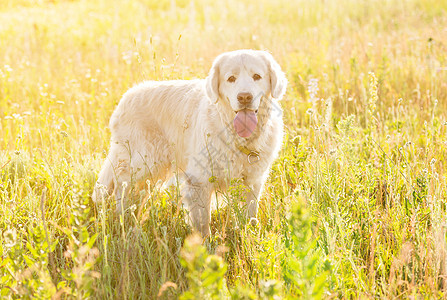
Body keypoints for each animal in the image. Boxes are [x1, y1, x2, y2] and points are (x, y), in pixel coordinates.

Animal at [93, 49, 288, 237]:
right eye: (231, 78)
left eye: (257, 76)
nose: (245, 97)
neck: (236, 135)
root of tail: (126, 97)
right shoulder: (199, 180)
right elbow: (202, 222)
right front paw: (205, 245)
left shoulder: (253, 181)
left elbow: (250, 216)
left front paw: (249, 236)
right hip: (144, 162)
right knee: (122, 185)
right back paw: (124, 218)